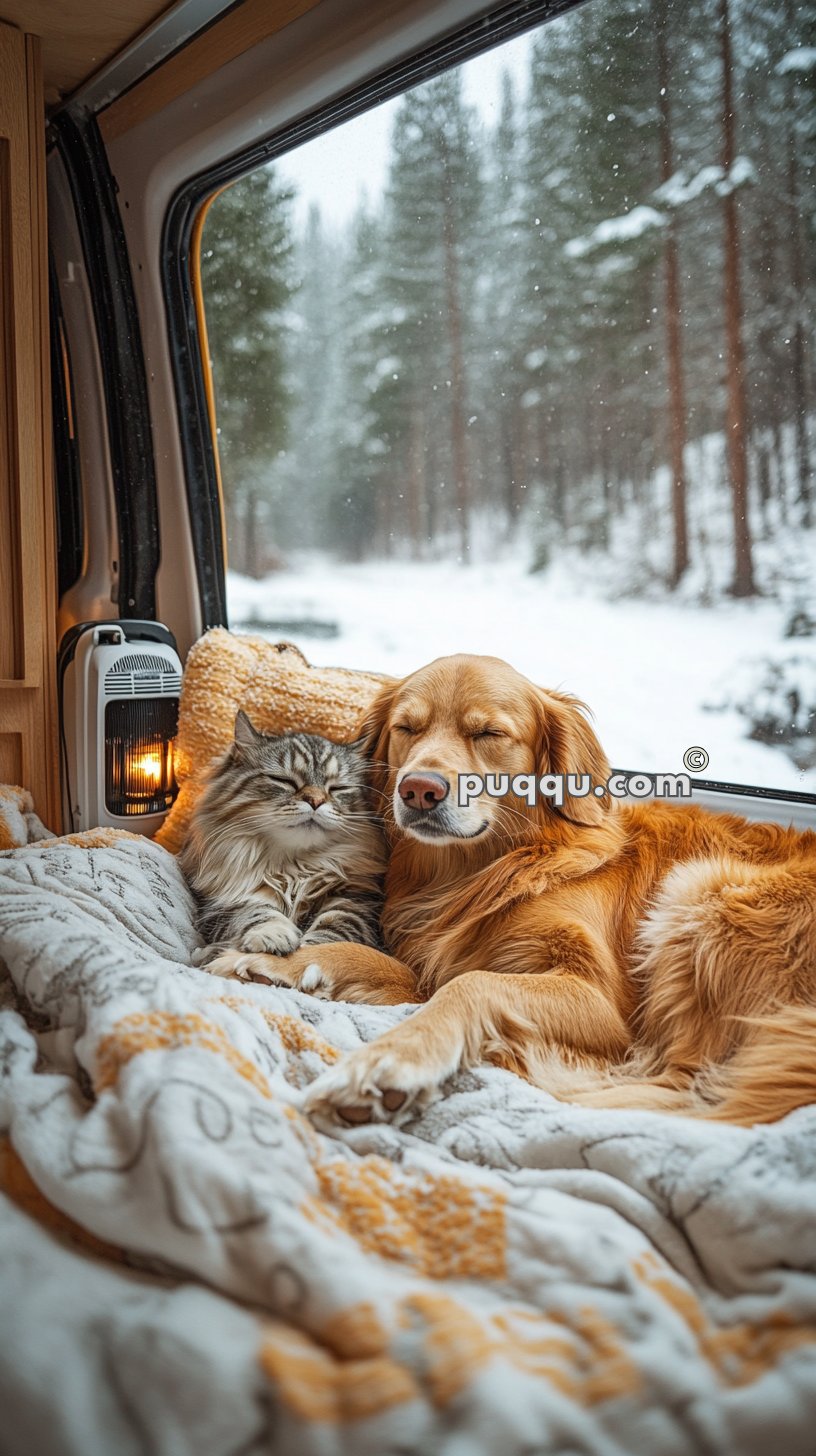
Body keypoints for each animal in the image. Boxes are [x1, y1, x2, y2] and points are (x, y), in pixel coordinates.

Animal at [183, 713, 387, 978]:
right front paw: (274, 937)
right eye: (283, 781)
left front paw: (307, 953)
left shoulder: (355, 900)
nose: (316, 801)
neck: (295, 866)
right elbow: (259, 912)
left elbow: (334, 930)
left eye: (337, 788)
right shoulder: (224, 903)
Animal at [247, 655, 816, 1129]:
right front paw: (281, 963)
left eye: (489, 732)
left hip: (703, 892)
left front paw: (392, 1060)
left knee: (681, 1080)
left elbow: (471, 984)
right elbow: (394, 966)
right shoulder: (428, 959)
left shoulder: (600, 1003)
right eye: (407, 728)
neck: (476, 875)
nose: (418, 790)